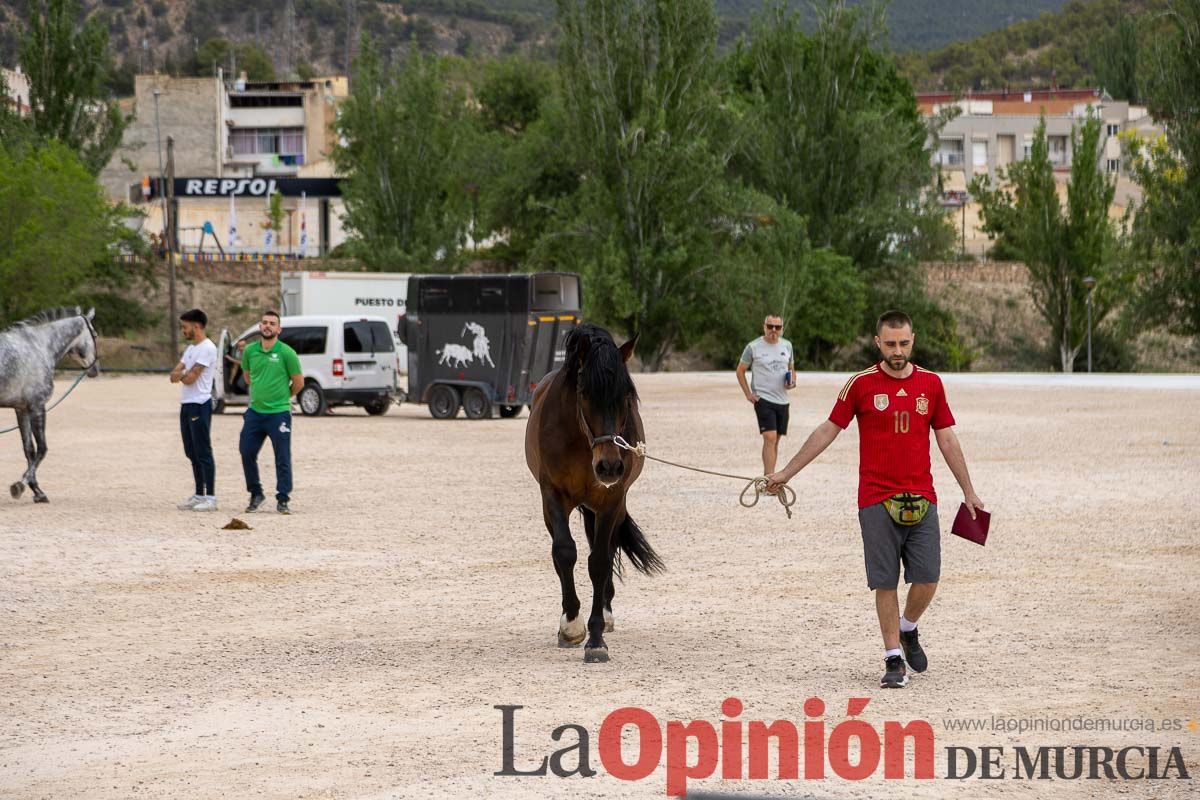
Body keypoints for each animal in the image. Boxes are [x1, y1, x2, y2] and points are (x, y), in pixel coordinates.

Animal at [0, 307, 98, 501]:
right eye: (95, 335)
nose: (95, 370)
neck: (38, 347)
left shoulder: (22, 409)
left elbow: (29, 450)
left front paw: (37, 491)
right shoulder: (37, 407)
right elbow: (42, 449)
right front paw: (20, 486)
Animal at [525, 321, 667, 666]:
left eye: (626, 396)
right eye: (585, 393)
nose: (609, 466)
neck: (580, 439)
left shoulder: (611, 501)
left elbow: (600, 560)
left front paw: (597, 638)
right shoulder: (553, 496)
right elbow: (564, 552)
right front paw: (571, 626)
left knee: (607, 547)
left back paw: (606, 608)